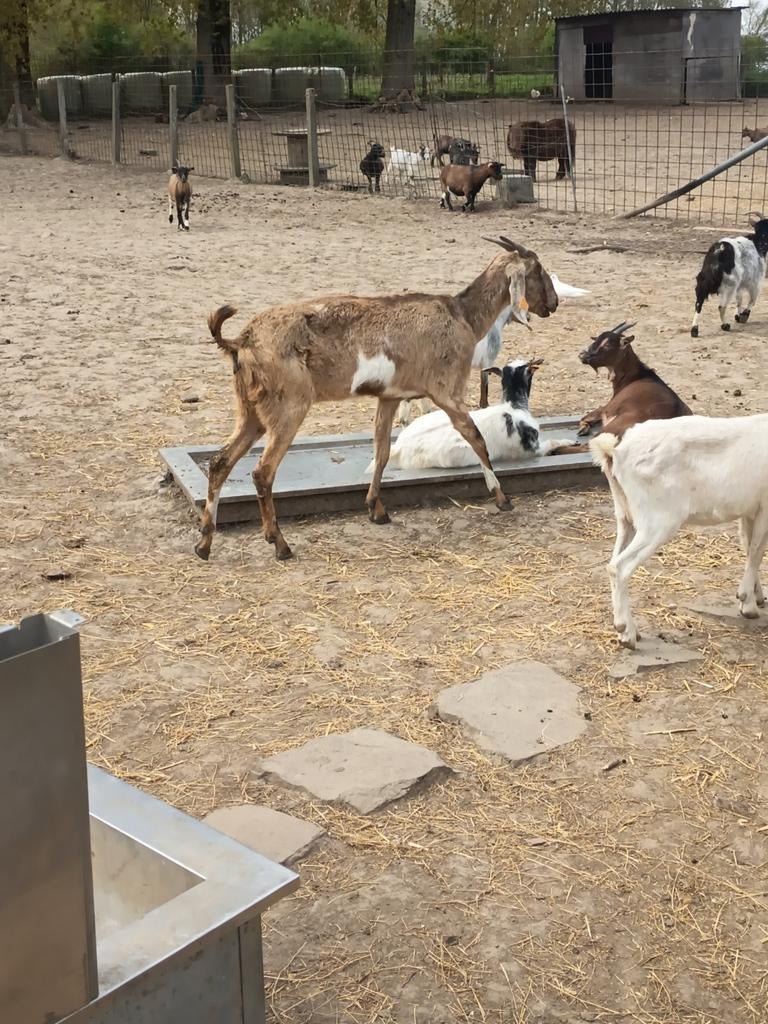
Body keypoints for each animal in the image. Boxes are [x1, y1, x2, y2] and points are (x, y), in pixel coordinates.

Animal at [380, 358, 571, 471]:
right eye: (529, 372)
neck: (514, 407)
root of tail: (399, 447)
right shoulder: (533, 449)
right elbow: (552, 443)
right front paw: (568, 441)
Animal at [548, 321, 692, 456]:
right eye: (596, 339)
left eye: (607, 344)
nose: (583, 355)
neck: (637, 376)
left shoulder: (606, 408)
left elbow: (585, 417)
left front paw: (583, 428)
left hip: (611, 429)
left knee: (589, 446)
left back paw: (555, 449)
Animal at [591, 414, 768, 649]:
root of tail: (614, 451)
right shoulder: (765, 509)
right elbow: (757, 552)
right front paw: (748, 604)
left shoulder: (750, 511)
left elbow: (749, 548)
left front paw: (756, 598)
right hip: (657, 521)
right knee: (619, 567)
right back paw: (626, 634)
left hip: (625, 516)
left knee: (612, 561)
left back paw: (629, 630)